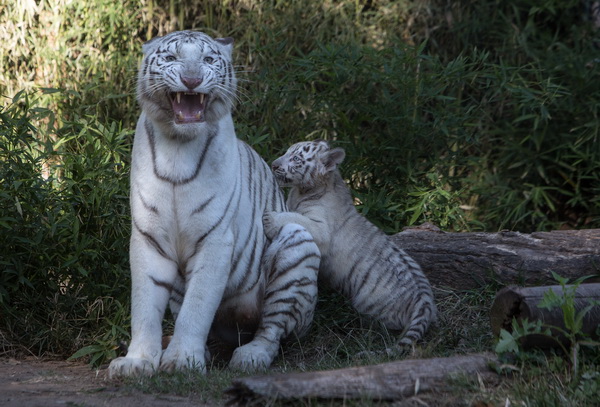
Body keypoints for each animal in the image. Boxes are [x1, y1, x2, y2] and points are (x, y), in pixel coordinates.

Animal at [108, 30, 324, 378]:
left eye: (208, 59)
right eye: (172, 58)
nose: (192, 79)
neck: (177, 146)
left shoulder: (215, 239)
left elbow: (197, 307)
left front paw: (183, 360)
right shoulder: (148, 238)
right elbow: (144, 305)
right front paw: (138, 361)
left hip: (296, 244)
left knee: (273, 329)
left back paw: (250, 356)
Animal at [262, 140, 436, 348]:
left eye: (296, 158)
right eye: (287, 152)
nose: (273, 165)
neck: (304, 189)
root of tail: (424, 302)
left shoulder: (321, 229)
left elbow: (295, 218)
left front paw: (270, 218)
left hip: (372, 306)